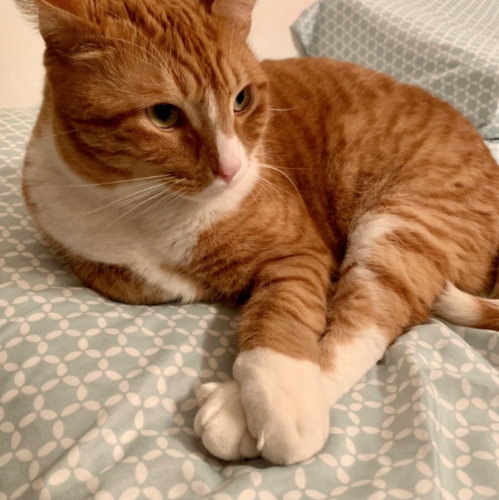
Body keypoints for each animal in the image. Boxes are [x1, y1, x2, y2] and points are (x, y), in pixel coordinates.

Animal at [19, 0, 499, 464]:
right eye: (163, 114)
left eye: (242, 99)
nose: (231, 168)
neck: (147, 207)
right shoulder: (93, 259)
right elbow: (147, 282)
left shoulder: (299, 252)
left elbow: (281, 315)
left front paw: (282, 399)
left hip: (401, 225)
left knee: (365, 327)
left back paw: (238, 412)